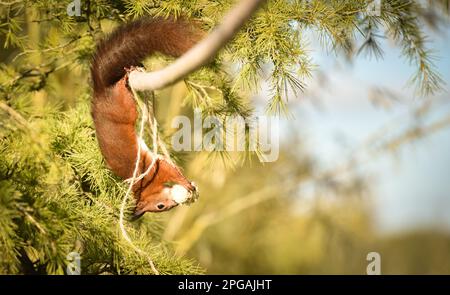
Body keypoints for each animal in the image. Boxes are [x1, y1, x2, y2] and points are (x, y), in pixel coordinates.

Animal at [90, 17, 201, 219]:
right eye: (161, 207)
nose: (172, 204)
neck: (143, 186)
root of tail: (100, 93)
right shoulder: (158, 168)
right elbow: (170, 168)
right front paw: (186, 184)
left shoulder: (156, 170)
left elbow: (170, 170)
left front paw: (187, 184)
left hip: (124, 107)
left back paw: (127, 74)